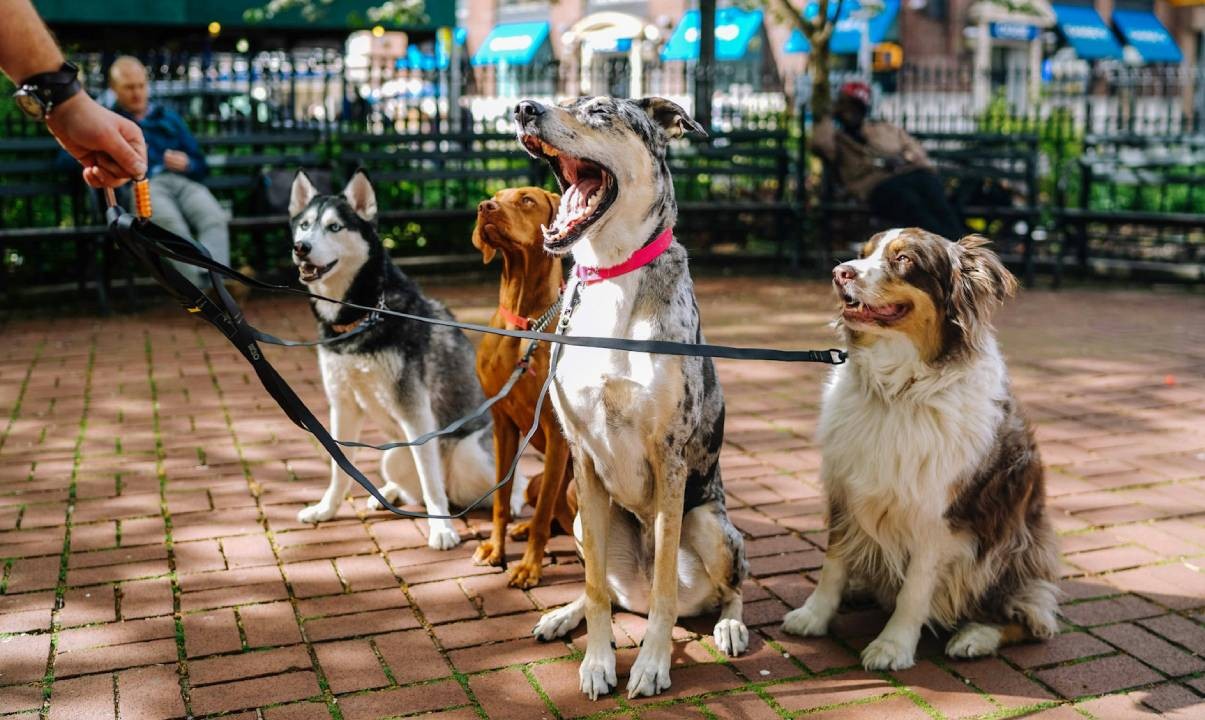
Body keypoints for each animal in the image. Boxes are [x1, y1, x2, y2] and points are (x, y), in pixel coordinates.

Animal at [469, 189, 573, 589]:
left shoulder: (557, 433)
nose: (484, 207)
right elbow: (501, 500)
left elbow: (543, 516)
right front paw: (494, 549)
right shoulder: (503, 424)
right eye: (494, 197)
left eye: (526, 199)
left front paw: (529, 567)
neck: (524, 323)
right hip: (535, 481)